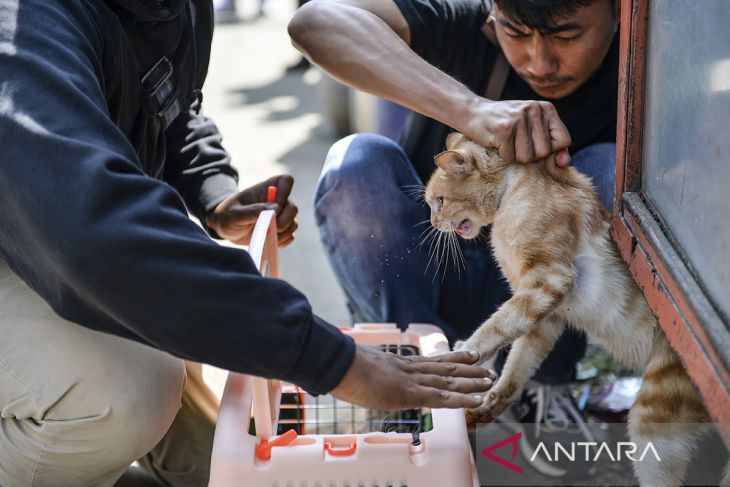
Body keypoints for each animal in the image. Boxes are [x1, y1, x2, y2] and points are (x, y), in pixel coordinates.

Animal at [424, 132, 720, 486]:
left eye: (439, 201)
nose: (433, 223)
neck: (513, 189)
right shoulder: (544, 314)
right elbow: (517, 365)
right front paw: (485, 407)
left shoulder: (547, 283)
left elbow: (491, 330)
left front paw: (456, 358)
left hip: (652, 419)